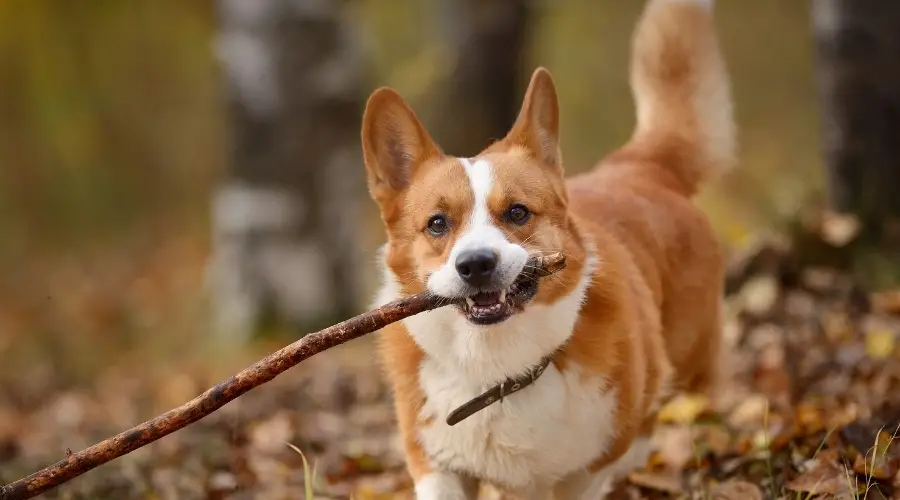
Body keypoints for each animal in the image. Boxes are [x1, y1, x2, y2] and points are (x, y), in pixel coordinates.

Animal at [362, 1, 736, 498]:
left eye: (518, 213)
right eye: (437, 224)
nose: (475, 265)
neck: (497, 367)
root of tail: (641, 166)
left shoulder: (589, 468)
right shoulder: (437, 466)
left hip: (688, 374)